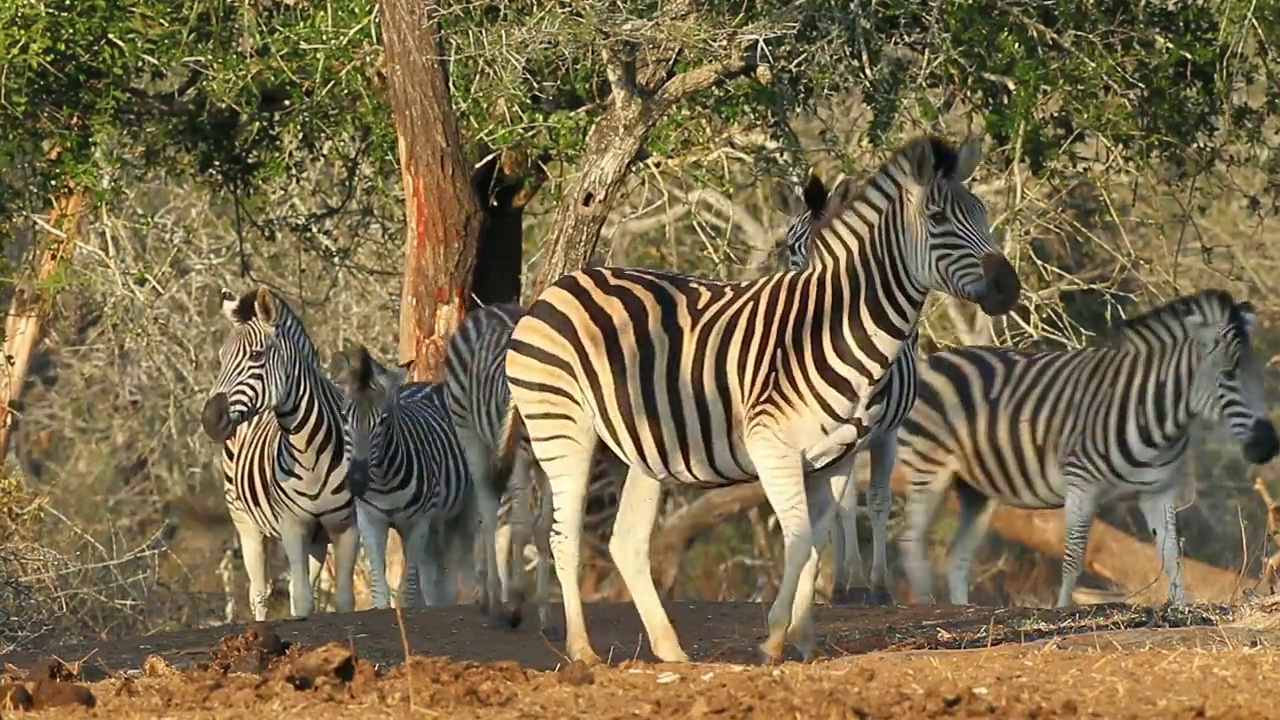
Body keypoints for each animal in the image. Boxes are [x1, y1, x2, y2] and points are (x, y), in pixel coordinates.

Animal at [199, 284, 363, 617]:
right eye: (221, 358)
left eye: (256, 355)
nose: (210, 420)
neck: (310, 451)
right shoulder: (292, 526)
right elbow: (300, 597)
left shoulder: (346, 528)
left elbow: (341, 599)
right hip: (245, 522)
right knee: (259, 592)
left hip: (317, 539)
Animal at [332, 340, 478, 604]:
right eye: (345, 417)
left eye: (383, 420)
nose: (357, 481)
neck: (383, 483)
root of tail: (431, 384)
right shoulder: (370, 521)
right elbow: (380, 589)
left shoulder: (417, 525)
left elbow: (407, 591)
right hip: (434, 520)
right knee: (433, 576)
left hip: (463, 505)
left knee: (462, 565)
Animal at [768, 174, 921, 604]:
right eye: (791, 247)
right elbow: (837, 506)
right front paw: (837, 583)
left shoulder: (884, 435)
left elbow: (878, 499)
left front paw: (878, 587)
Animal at [896, 285, 1274, 604]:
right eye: (1228, 375)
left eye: (1261, 376)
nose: (1268, 445)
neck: (1158, 419)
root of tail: (932, 359)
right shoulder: (1081, 485)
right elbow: (1074, 558)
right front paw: (1063, 611)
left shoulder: (1157, 492)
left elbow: (1171, 557)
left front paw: (1180, 609)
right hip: (927, 468)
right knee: (910, 542)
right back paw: (925, 605)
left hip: (977, 491)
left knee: (956, 557)